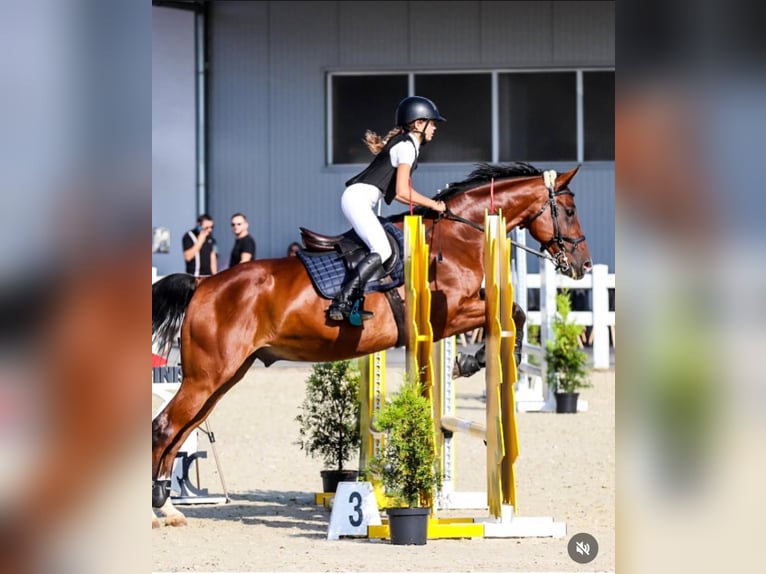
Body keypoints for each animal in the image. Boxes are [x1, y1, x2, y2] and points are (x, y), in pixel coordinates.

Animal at [151, 162, 592, 527]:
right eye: (570, 211)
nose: (582, 265)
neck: (459, 234)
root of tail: (203, 283)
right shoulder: (449, 315)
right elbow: (511, 315)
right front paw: (478, 360)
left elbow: (512, 312)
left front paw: (477, 362)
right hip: (208, 376)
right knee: (166, 426)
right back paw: (158, 510)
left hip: (225, 376)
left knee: (181, 430)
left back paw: (169, 506)